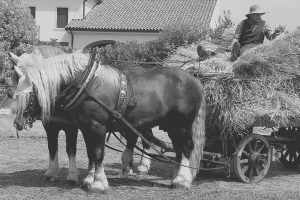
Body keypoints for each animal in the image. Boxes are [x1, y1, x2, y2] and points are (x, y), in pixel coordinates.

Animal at [9, 50, 206, 191]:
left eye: (29, 95)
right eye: (15, 89)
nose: (17, 123)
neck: (87, 85)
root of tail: (195, 80)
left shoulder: (97, 127)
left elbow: (97, 153)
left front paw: (98, 183)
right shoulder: (85, 127)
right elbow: (90, 153)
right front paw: (89, 179)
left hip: (181, 125)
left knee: (186, 148)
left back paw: (181, 180)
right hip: (172, 126)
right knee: (178, 149)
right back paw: (177, 177)